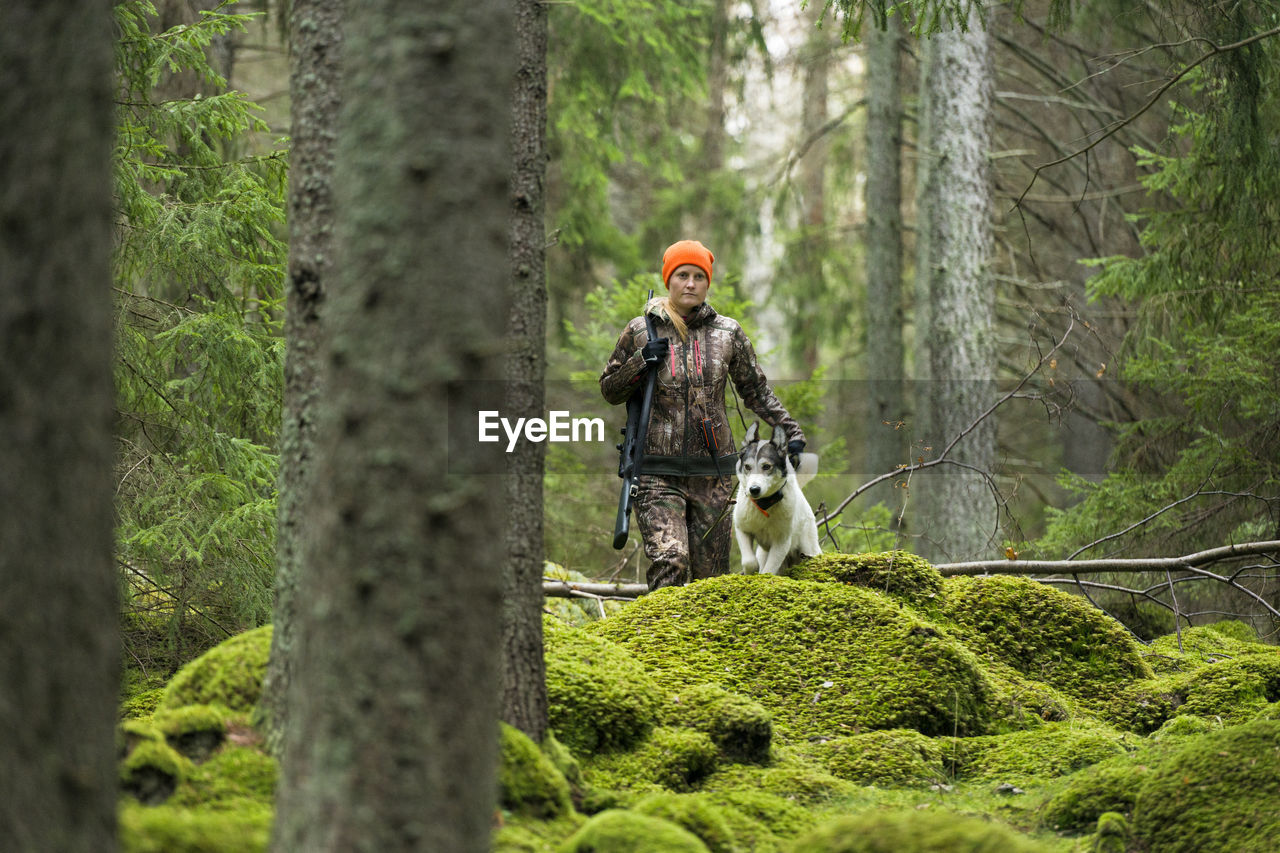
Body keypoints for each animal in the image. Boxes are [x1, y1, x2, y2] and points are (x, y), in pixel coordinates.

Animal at [732, 417, 819, 571]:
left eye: (766, 466)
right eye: (747, 467)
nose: (754, 489)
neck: (764, 505)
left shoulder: (781, 542)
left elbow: (768, 570)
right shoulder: (742, 529)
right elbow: (749, 562)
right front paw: (751, 570)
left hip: (809, 548)